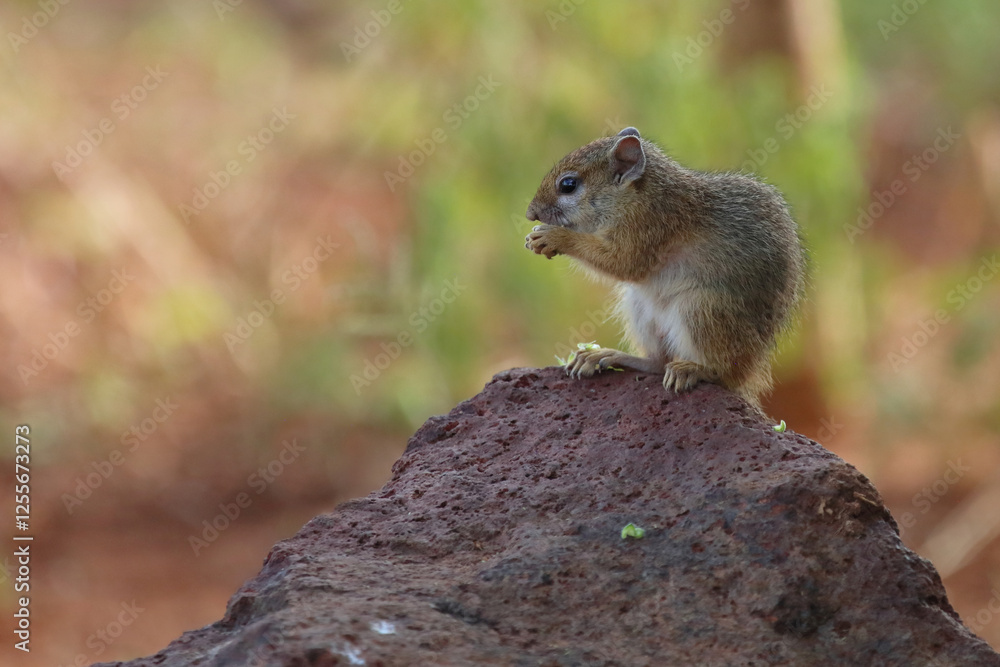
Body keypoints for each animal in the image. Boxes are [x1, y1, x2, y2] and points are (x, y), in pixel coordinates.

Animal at [524, 127, 805, 408]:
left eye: (568, 185)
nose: (530, 213)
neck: (639, 194)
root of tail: (750, 373)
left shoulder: (649, 226)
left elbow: (623, 262)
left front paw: (555, 237)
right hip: (640, 309)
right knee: (658, 363)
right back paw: (606, 356)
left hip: (701, 309)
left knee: (722, 372)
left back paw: (692, 369)